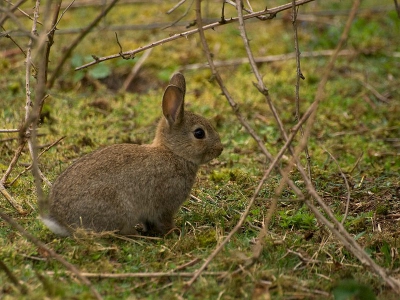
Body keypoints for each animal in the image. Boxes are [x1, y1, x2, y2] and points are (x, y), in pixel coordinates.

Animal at [41, 72, 223, 237]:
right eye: (199, 133)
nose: (220, 149)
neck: (174, 153)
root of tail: (59, 221)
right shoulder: (165, 205)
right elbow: (164, 221)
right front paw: (175, 231)